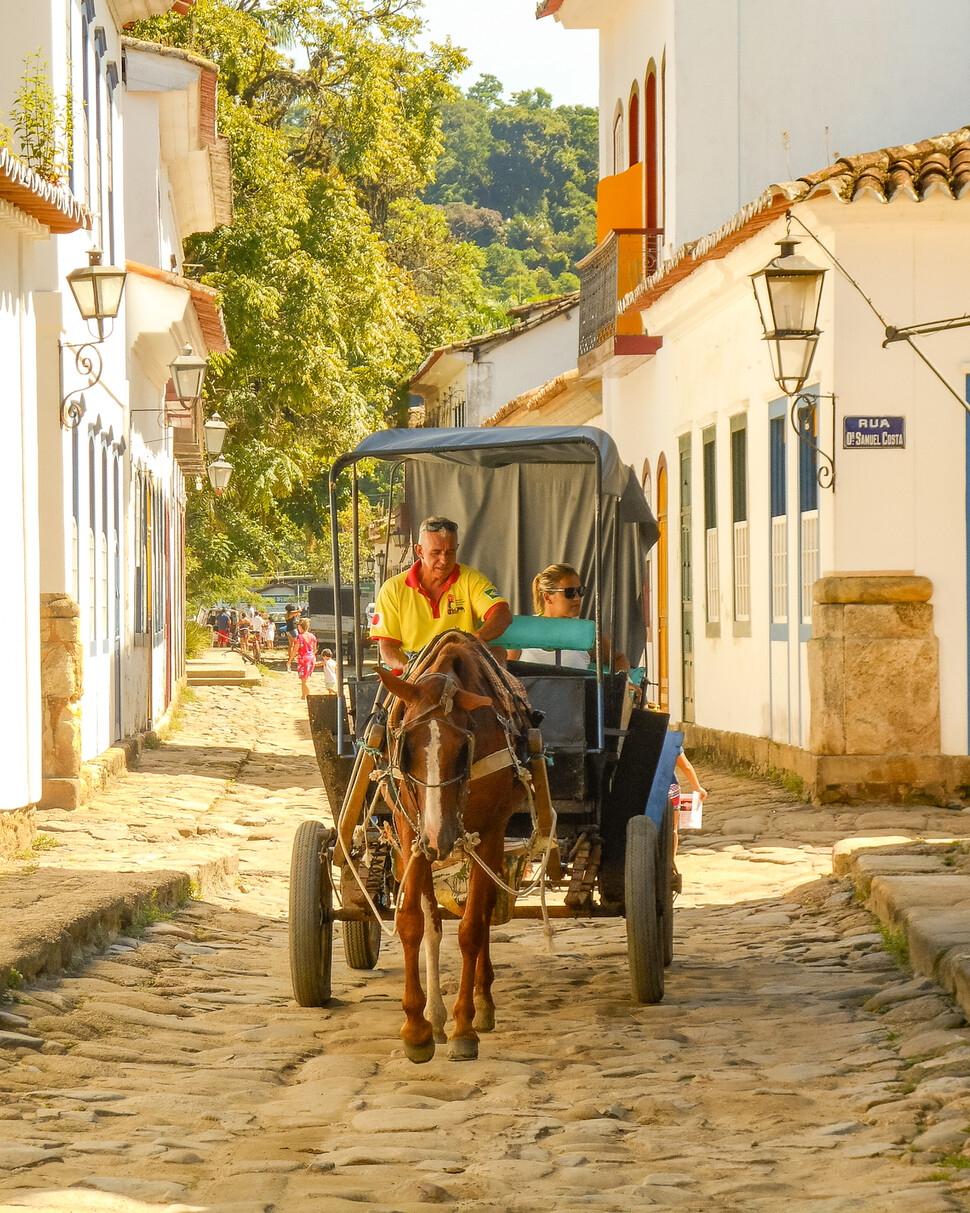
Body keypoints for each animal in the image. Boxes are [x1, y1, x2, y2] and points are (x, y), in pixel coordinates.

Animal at [375, 630, 531, 1067]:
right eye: (406, 747)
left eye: (463, 750)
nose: (439, 838)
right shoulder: (410, 832)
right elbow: (413, 922)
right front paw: (417, 1027)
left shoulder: (490, 834)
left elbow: (473, 928)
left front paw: (464, 1026)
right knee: (434, 920)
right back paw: (436, 1015)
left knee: (482, 913)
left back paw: (480, 1003)